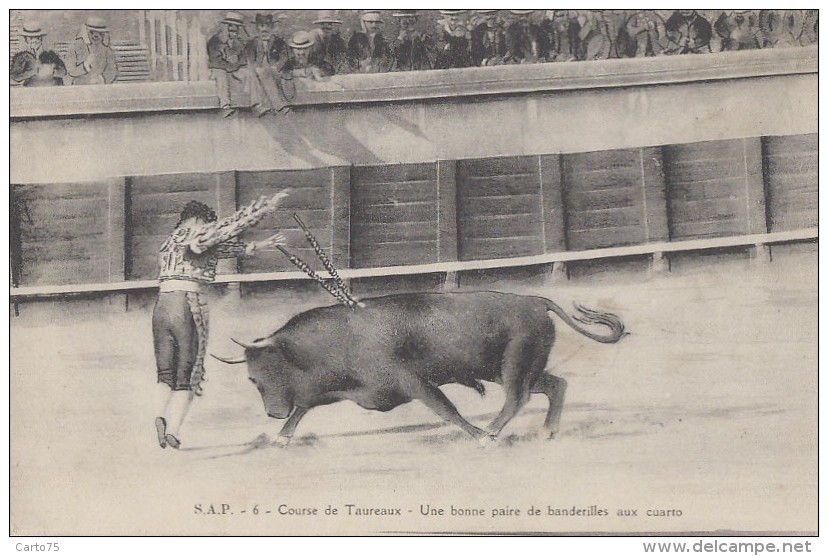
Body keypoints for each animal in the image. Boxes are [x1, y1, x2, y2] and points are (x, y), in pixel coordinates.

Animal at [213, 292, 620, 448]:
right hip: (514, 369)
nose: (272, 412)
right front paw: (282, 437)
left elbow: (445, 409)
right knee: (555, 385)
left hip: (514, 367)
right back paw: (547, 432)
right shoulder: (350, 390)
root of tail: (535, 301)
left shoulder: (412, 382)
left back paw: (490, 433)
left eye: (271, 369)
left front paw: (475, 435)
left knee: (517, 398)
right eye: (252, 378)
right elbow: (304, 407)